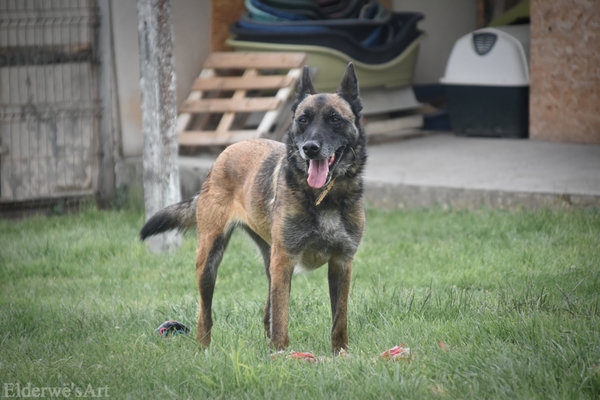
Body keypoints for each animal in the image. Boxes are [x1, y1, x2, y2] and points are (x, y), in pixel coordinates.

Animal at [141, 62, 366, 354]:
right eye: (303, 120)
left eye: (334, 119)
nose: (310, 148)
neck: (324, 198)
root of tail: (226, 152)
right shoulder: (285, 261)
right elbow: (283, 317)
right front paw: (282, 356)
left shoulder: (341, 262)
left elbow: (339, 318)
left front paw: (340, 355)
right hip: (210, 259)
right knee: (205, 314)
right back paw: (205, 351)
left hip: (269, 264)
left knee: (267, 313)